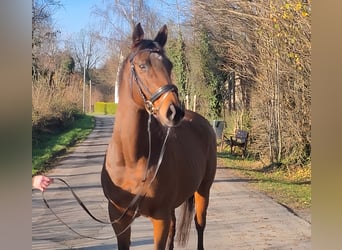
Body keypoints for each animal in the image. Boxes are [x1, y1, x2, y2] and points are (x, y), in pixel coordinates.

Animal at [101, 22, 216, 249]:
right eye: (142, 66)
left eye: (170, 65)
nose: (174, 111)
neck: (131, 160)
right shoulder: (118, 219)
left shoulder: (159, 218)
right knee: (174, 227)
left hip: (203, 191)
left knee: (200, 225)